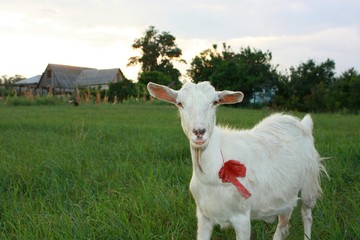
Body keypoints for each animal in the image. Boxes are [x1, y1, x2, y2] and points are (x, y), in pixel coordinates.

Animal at [146, 81, 326, 240]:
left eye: (215, 102)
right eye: (179, 103)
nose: (199, 132)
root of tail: (302, 123)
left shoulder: (242, 217)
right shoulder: (203, 215)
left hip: (309, 182)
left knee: (307, 214)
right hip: (285, 194)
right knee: (283, 224)